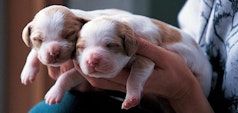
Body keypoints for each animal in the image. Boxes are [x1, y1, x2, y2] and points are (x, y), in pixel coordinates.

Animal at [75, 14, 213, 110]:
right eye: (81, 47)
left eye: (111, 45)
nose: (91, 61)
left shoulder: (146, 57)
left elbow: (135, 77)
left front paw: (130, 100)